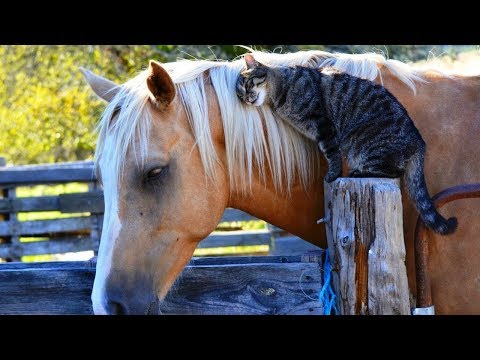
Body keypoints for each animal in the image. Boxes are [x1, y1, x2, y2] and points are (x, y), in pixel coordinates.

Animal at [236, 52, 458, 233]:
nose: (247, 98)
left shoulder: (323, 125)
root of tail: (419, 142)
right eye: (240, 94)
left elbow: (332, 154)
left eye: (248, 84)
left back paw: (358, 172)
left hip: (363, 143)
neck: (281, 90)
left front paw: (332, 175)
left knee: (392, 172)